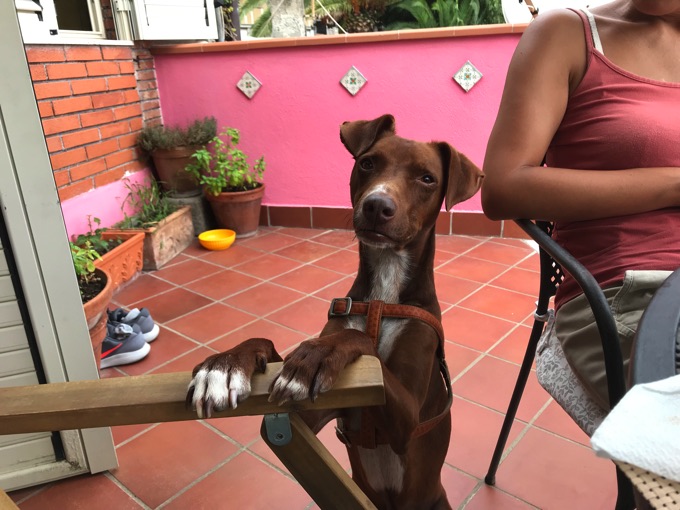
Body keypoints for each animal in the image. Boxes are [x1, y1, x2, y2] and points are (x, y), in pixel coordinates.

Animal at [187, 114, 483, 509]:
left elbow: (357, 338)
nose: (377, 206)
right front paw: (225, 365)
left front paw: (318, 353)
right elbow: (268, 345)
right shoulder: (308, 420)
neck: (382, 298)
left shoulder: (407, 421)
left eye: (427, 178)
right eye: (368, 163)